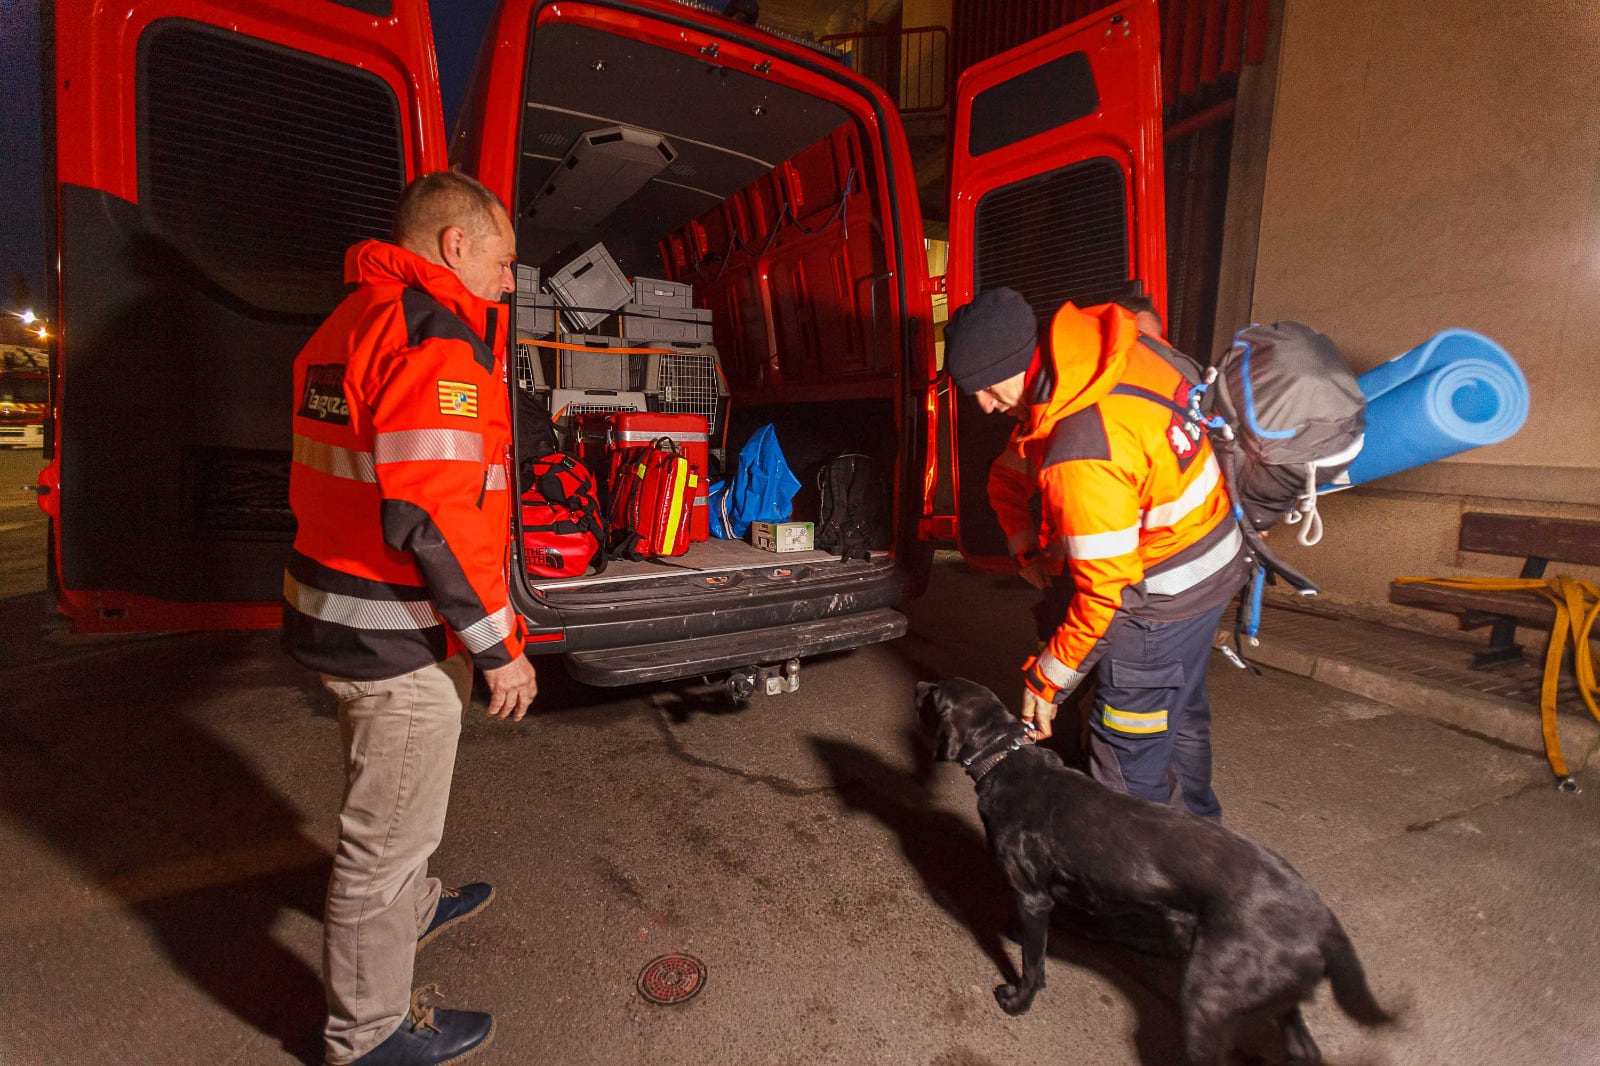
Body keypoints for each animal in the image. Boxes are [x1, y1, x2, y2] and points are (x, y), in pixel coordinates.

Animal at [921, 675, 1395, 1056]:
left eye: (937, 693)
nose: (919, 686)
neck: (1006, 759)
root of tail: (1322, 919)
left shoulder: (1033, 897)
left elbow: (1033, 965)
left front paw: (1019, 1001)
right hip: (1277, 1001)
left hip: (1209, 1000)